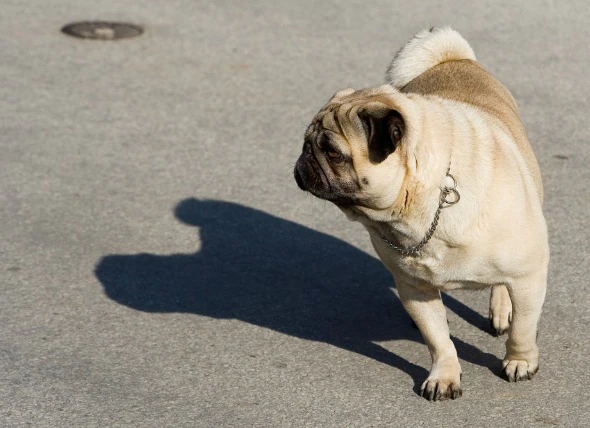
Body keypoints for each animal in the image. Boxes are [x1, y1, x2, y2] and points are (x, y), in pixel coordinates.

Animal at [294, 27, 552, 402]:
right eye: (306, 142)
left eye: (333, 153)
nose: (304, 158)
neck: (423, 207)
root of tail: (453, 58)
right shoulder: (414, 287)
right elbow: (438, 340)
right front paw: (444, 375)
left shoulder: (529, 275)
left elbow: (523, 327)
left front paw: (520, 361)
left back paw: (502, 310)